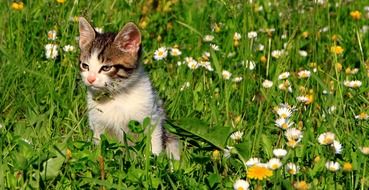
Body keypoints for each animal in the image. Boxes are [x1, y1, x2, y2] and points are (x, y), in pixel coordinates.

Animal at [78, 16, 179, 160]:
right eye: (85, 66)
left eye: (106, 68)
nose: (90, 79)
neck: (117, 96)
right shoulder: (98, 124)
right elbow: (101, 145)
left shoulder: (153, 117)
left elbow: (154, 142)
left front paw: (154, 161)